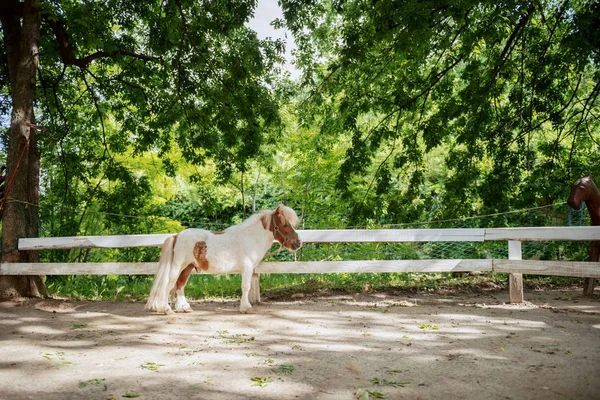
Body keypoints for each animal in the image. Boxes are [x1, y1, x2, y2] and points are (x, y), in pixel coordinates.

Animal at [148, 205, 302, 314]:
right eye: (285, 224)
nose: (298, 243)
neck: (250, 238)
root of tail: (177, 235)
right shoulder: (247, 268)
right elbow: (246, 287)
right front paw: (245, 308)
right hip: (179, 265)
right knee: (170, 283)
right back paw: (166, 309)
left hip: (188, 267)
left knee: (180, 285)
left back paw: (184, 308)